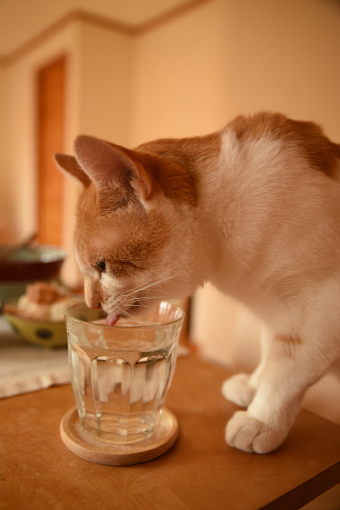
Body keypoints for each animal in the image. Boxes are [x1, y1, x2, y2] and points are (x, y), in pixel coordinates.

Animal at [54, 112, 340, 454]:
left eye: (102, 266)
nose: (90, 303)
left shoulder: (319, 309)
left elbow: (286, 370)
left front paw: (261, 420)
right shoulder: (274, 311)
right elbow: (269, 350)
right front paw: (253, 384)